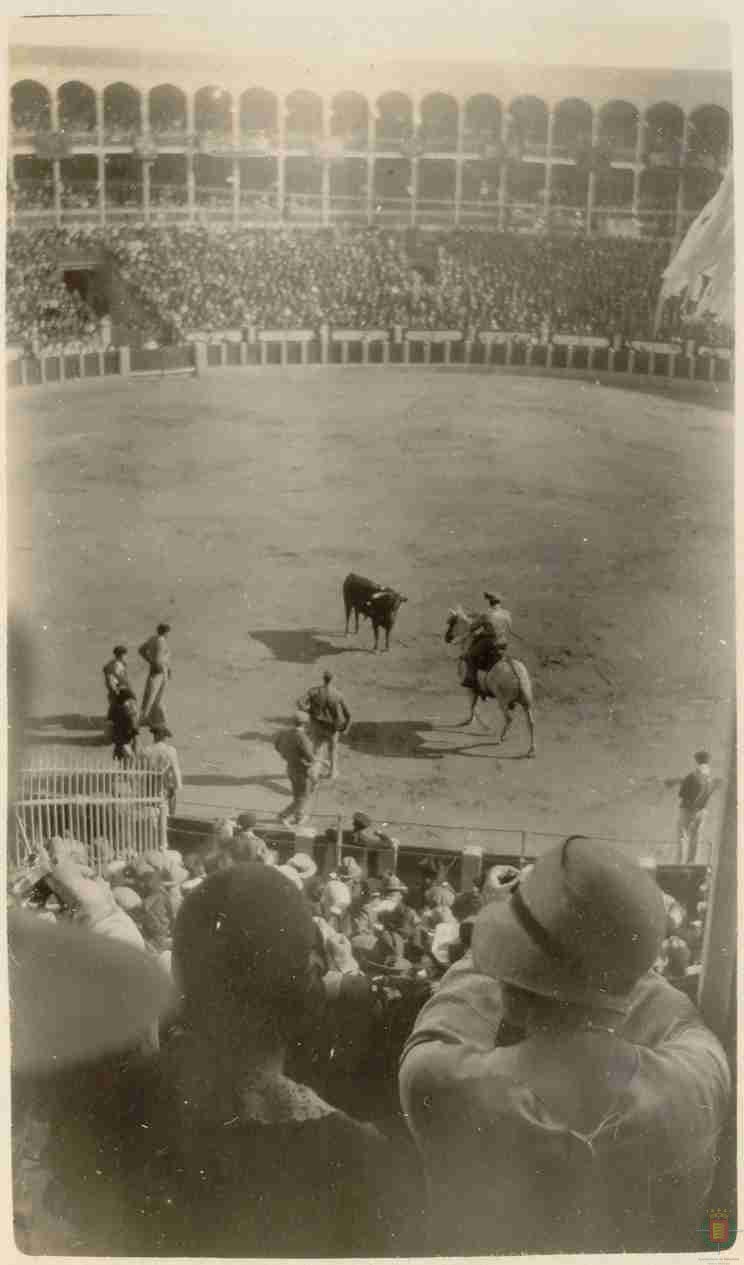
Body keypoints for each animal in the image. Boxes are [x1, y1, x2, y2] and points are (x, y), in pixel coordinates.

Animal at [442, 607, 533, 753]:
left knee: (509, 719)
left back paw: (501, 738)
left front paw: (480, 725)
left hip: (502, 701)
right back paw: (531, 749)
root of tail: (516, 673)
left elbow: (473, 706)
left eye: (451, 622)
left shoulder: (470, 688)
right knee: (530, 722)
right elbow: (473, 705)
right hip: (527, 702)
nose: (447, 637)